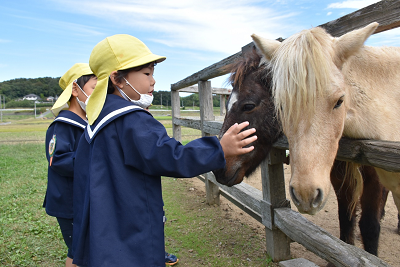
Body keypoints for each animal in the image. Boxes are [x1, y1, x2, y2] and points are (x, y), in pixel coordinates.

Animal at [212, 47, 390, 256]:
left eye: (248, 105)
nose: (219, 168)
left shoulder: (375, 176)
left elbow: (370, 226)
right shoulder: (339, 176)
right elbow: (346, 219)